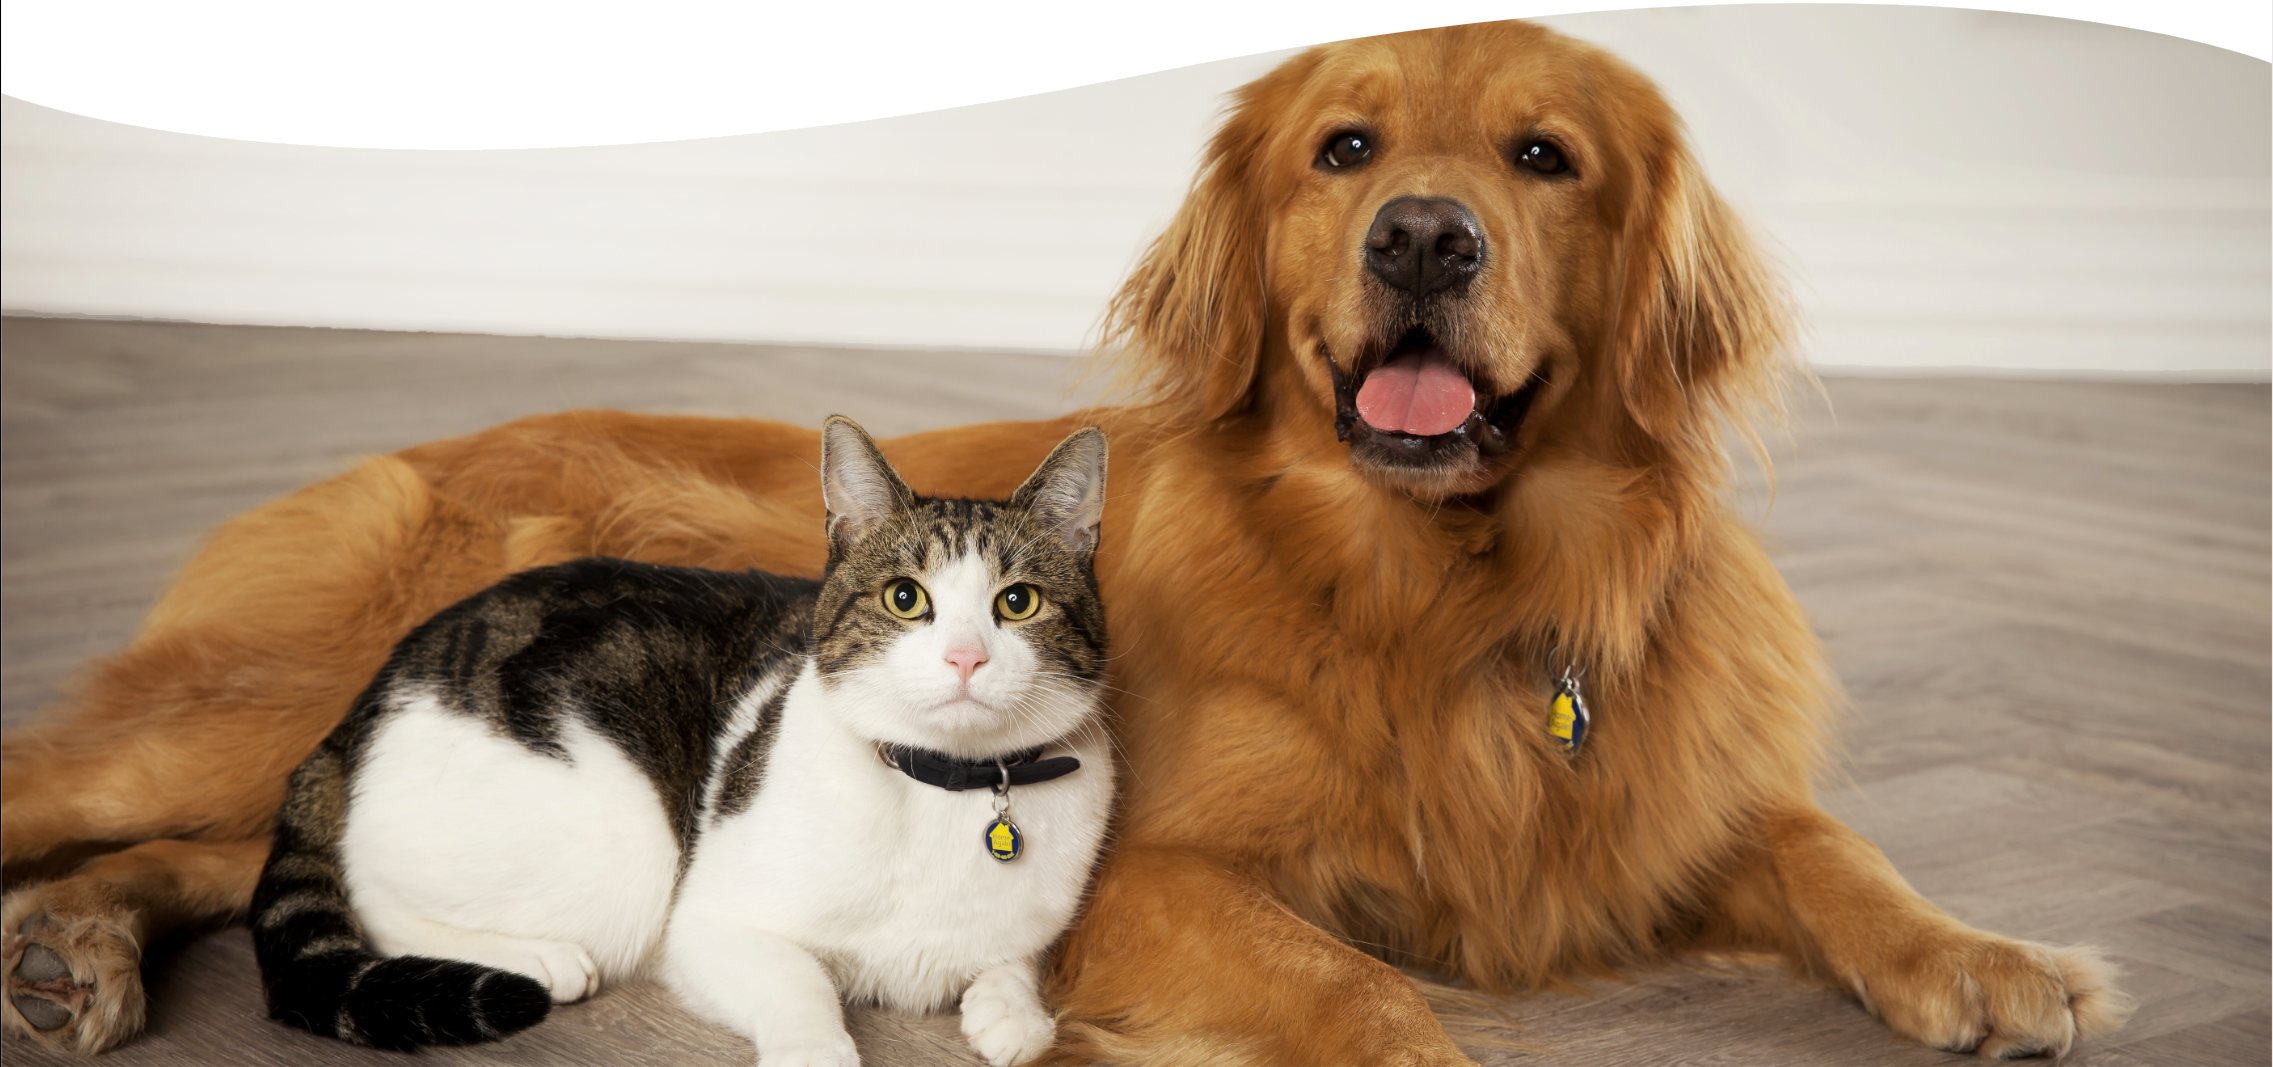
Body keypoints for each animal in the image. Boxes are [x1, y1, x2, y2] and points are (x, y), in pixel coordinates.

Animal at [251, 418, 1118, 1064]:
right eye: (906, 598)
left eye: (1018, 601)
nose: (966, 657)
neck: (947, 784)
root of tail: (380, 678)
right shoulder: (709, 923)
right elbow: (799, 988)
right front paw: (816, 1045)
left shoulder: (1026, 931)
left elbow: (1016, 974)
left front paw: (1013, 1011)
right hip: (625, 849)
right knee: (375, 896)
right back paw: (537, 958)